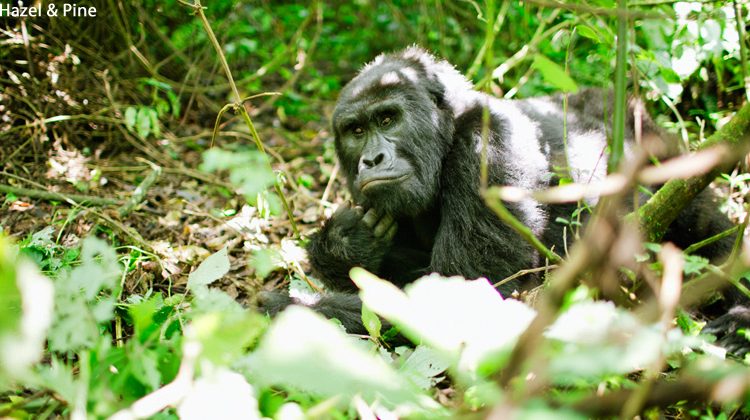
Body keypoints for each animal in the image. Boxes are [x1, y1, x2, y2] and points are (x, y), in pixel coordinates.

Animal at [262, 45, 744, 348]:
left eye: (387, 118)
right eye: (356, 130)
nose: (372, 158)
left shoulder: (488, 149)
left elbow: (455, 302)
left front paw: (289, 307)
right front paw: (343, 247)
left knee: (707, 228)